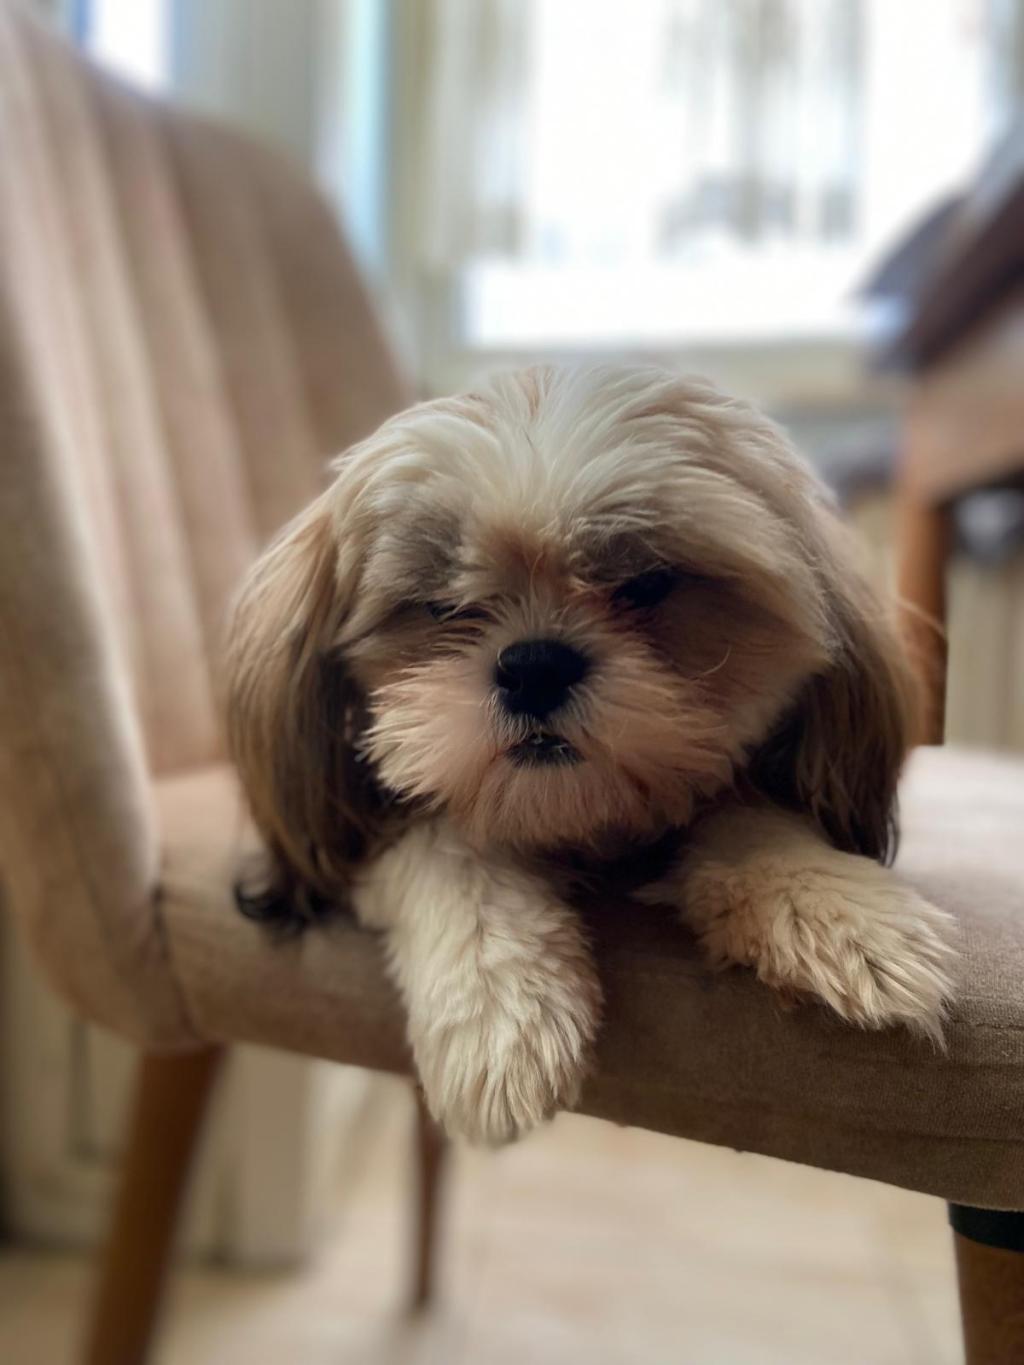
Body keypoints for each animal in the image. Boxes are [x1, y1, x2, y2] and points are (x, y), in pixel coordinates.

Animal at [225, 364, 955, 1144]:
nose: (534, 665)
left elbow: (753, 821)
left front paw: (837, 906)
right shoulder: (373, 828)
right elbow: (453, 854)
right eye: (445, 607)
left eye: (648, 584)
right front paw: (500, 1007)